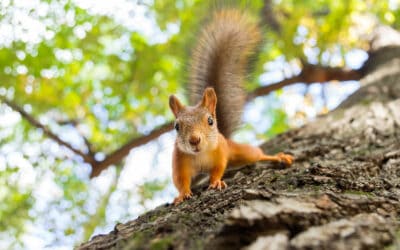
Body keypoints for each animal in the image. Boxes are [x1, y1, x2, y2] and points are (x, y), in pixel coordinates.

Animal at [169, 10, 294, 205]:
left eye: (210, 121)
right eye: (176, 126)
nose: (194, 140)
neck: (200, 154)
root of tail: (225, 138)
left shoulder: (220, 153)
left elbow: (218, 169)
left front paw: (216, 182)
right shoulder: (179, 161)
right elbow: (180, 181)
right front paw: (182, 194)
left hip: (238, 151)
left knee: (256, 155)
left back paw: (279, 157)